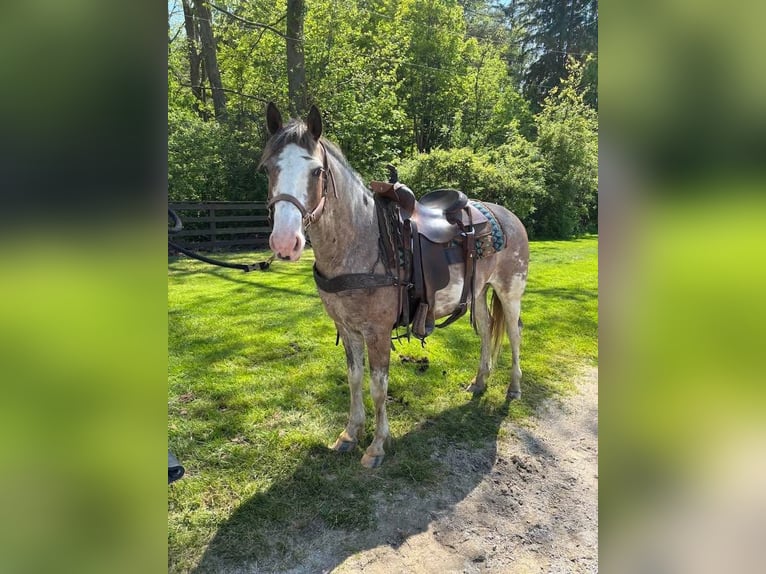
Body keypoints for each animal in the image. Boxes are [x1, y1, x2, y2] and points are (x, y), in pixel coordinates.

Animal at [261, 103, 529, 468]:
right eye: (267, 169)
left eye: (316, 172)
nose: (285, 243)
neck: (361, 241)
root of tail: (507, 216)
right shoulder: (347, 328)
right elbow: (354, 378)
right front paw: (350, 434)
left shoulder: (377, 331)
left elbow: (378, 386)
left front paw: (376, 446)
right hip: (476, 293)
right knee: (487, 330)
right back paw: (479, 382)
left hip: (509, 290)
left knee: (514, 333)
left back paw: (513, 388)